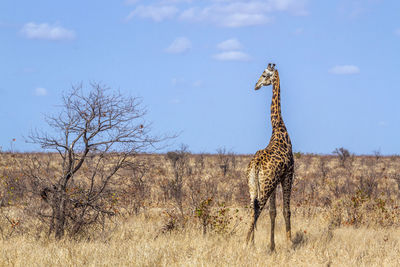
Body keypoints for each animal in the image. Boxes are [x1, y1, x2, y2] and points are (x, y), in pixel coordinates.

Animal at [245, 63, 296, 252]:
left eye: (264, 75)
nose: (256, 85)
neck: (279, 128)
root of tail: (255, 165)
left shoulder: (276, 180)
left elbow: (273, 212)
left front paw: (272, 245)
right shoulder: (288, 173)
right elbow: (286, 210)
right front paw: (290, 244)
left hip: (253, 185)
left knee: (253, 208)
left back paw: (251, 243)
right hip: (265, 186)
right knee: (258, 209)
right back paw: (245, 243)